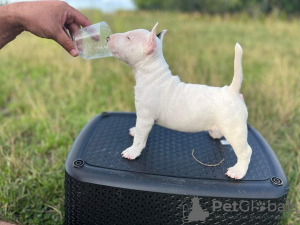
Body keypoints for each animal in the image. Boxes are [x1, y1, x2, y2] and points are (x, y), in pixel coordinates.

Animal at [106, 22, 252, 178]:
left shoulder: (145, 117)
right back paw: (215, 133)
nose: (108, 37)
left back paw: (238, 171)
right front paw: (134, 131)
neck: (153, 74)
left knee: (245, 151)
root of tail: (232, 91)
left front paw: (132, 151)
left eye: (128, 38)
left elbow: (140, 137)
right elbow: (140, 132)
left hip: (234, 130)